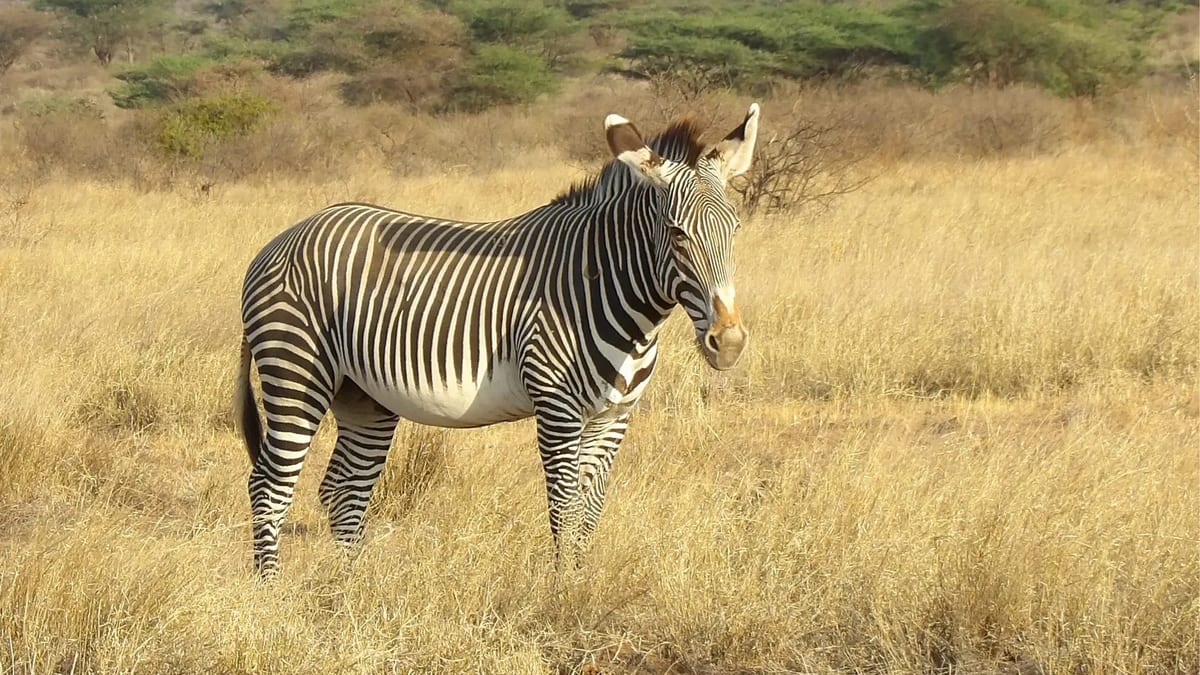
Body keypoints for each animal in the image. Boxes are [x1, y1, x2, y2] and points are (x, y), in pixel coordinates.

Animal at [235, 103, 760, 577]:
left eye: (735, 230)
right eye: (676, 234)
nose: (729, 342)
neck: (603, 285)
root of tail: (282, 239)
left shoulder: (613, 417)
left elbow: (590, 511)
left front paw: (581, 583)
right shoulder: (558, 408)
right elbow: (564, 510)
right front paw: (563, 594)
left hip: (363, 396)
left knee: (342, 489)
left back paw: (351, 588)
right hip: (296, 371)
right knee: (270, 485)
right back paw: (271, 590)